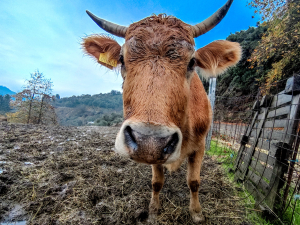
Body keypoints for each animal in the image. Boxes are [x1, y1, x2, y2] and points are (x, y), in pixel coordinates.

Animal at [82, 0, 241, 222]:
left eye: (192, 62)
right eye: (121, 59)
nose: (149, 141)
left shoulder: (200, 146)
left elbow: (194, 182)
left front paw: (197, 212)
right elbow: (157, 182)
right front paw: (153, 210)